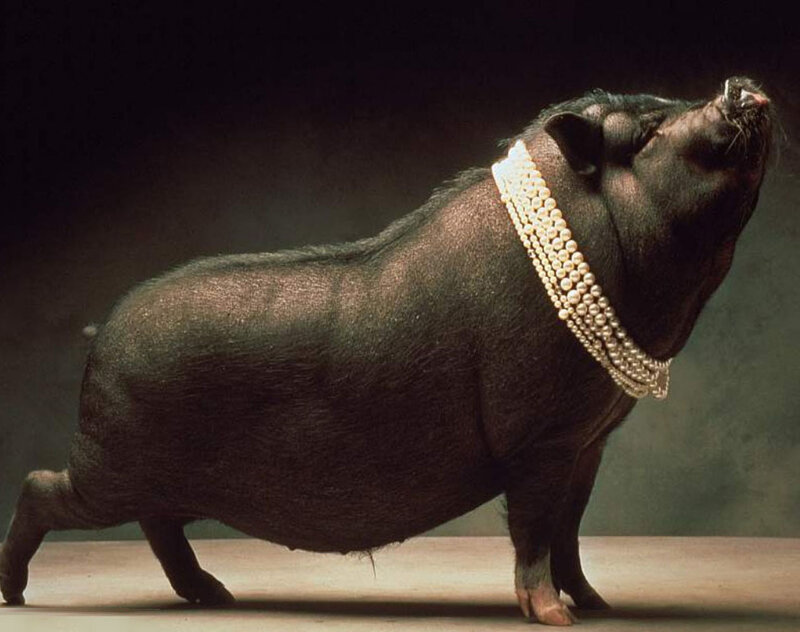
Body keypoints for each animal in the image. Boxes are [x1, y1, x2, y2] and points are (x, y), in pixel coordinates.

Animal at [0, 77, 772, 625]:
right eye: (645, 132)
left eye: (664, 105)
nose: (740, 83)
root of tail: (103, 334)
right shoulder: (539, 443)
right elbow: (533, 529)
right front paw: (554, 617)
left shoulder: (588, 444)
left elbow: (570, 532)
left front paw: (596, 604)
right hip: (111, 463)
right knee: (41, 488)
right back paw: (18, 596)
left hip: (145, 474)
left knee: (158, 526)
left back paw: (215, 595)